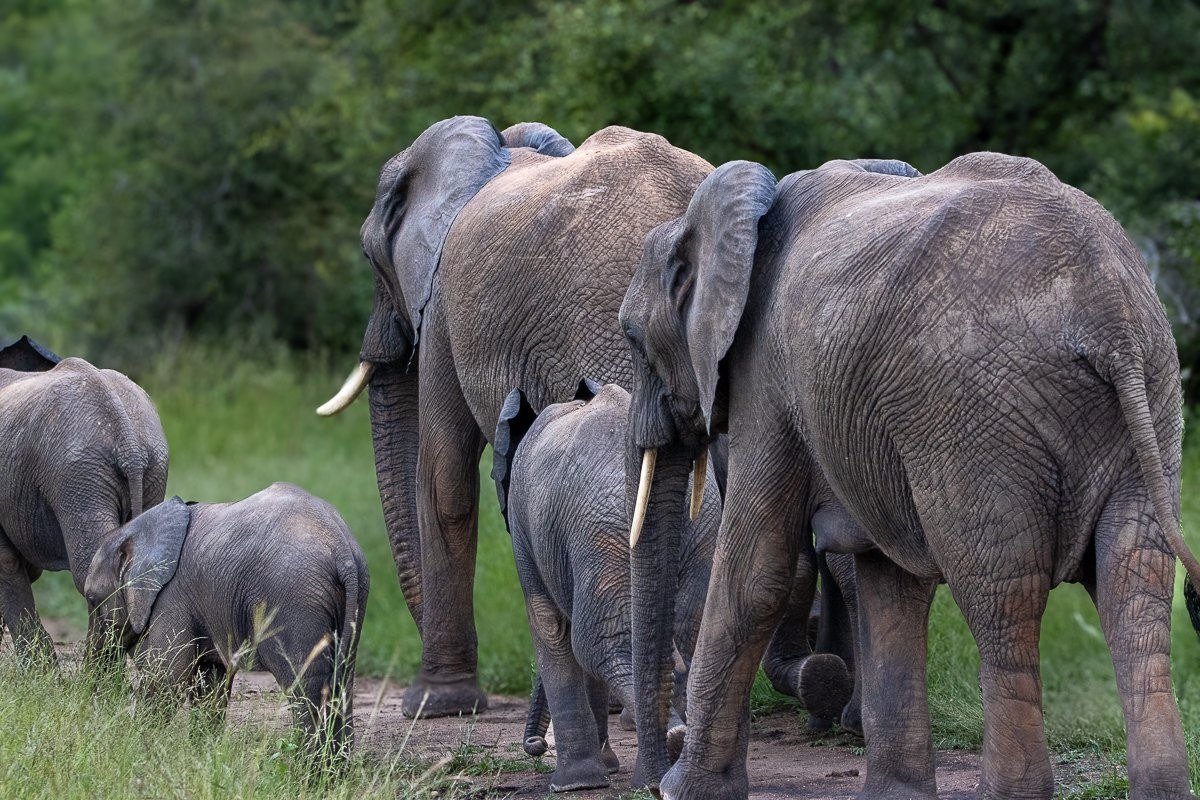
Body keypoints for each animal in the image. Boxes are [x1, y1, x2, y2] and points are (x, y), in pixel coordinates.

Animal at [83, 484, 369, 756]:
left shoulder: (171, 597)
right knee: (342, 680)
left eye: (91, 599)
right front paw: (203, 757)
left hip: (295, 599)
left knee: (308, 684)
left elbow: (166, 677)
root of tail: (343, 552)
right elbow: (210, 683)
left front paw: (137, 748)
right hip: (352, 601)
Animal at [490, 379, 719, 792]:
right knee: (693, 631)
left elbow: (550, 626)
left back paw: (669, 748)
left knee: (597, 643)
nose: (534, 746)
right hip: (700, 528)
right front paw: (605, 769)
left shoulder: (523, 530)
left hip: (603, 534)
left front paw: (574, 784)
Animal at [619, 153, 1200, 800]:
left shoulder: (767, 375)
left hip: (972, 416)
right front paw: (895, 795)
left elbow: (756, 569)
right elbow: (888, 584)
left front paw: (682, 789)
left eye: (631, 337)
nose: (649, 777)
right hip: (1152, 392)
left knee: (1002, 597)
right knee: (1136, 586)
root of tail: (1108, 310)